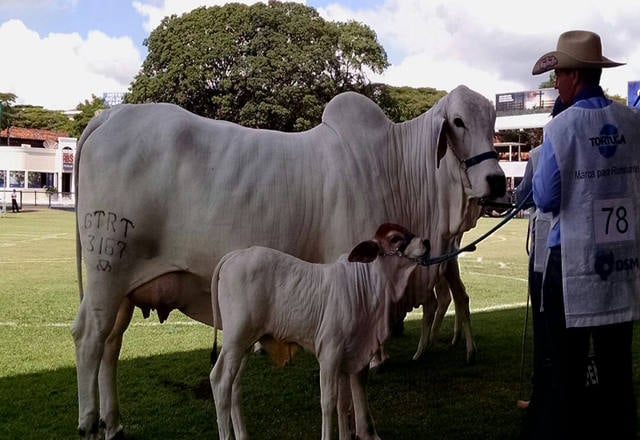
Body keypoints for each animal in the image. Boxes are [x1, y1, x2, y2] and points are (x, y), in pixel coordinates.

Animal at [210, 223, 430, 440]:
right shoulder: (329, 353)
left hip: (245, 344)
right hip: (235, 340)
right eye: (395, 238)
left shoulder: (348, 356)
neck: (364, 289)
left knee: (235, 387)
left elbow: (344, 403)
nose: (426, 242)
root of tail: (234, 255)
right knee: (220, 382)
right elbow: (328, 402)